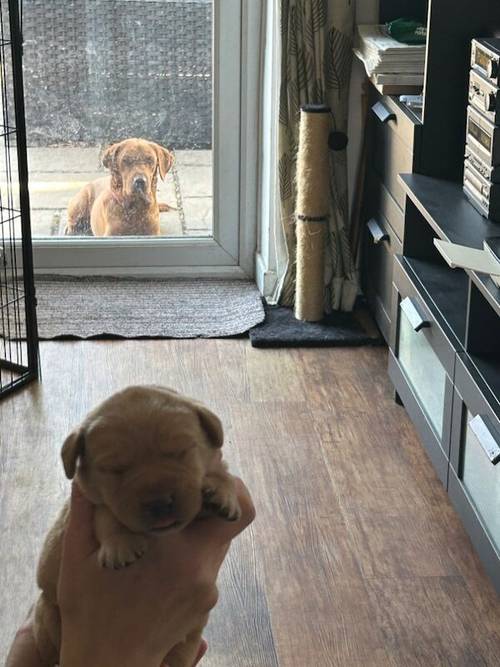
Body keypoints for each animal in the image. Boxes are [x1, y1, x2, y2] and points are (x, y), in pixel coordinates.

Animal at [33, 386, 240, 667]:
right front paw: (121, 544)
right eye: (115, 469)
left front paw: (221, 492)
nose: (159, 502)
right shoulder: (95, 502)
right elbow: (108, 516)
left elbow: (221, 473)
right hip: (49, 615)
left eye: (181, 451)